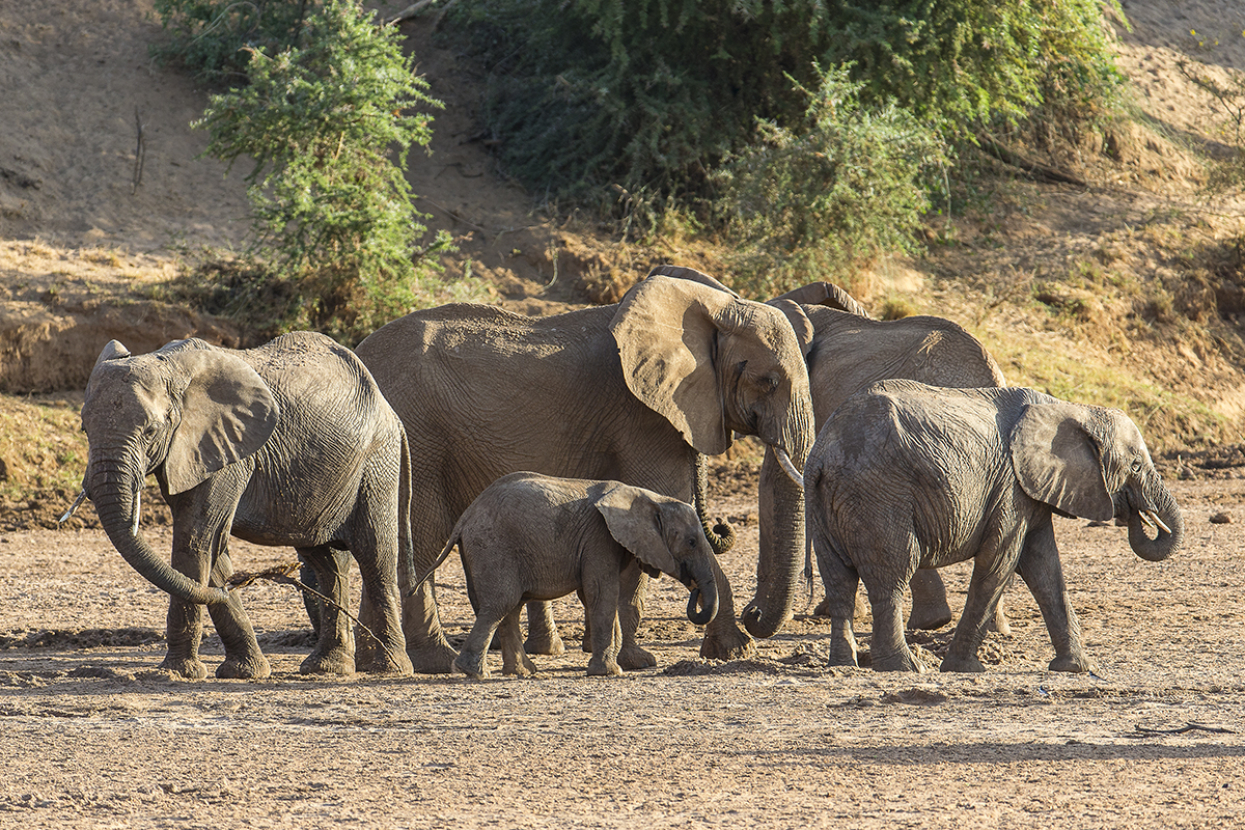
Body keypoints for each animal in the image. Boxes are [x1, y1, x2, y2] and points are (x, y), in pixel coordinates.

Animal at [76, 333, 414, 680]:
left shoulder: (222, 452)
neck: (169, 366)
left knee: (375, 556)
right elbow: (211, 549)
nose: (248, 579)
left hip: (377, 462)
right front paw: (245, 672)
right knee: (327, 562)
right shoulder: (194, 452)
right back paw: (328, 667)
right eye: (84, 428)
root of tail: (388, 409)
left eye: (151, 431)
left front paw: (177, 673)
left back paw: (388, 668)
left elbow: (196, 540)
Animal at [417, 472, 719, 678]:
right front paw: (609, 673)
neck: (648, 497)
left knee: (508, 608)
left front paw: (611, 667)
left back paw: (522, 672)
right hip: (492, 545)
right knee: (501, 603)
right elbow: (602, 593)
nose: (694, 588)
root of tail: (465, 517)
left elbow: (594, 595)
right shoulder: (599, 537)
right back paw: (475, 673)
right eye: (692, 542)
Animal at [804, 380, 1183, 673]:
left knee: (839, 581)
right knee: (893, 574)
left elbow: (1044, 567)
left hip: (828, 506)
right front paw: (963, 668)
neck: (1073, 409)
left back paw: (843, 665)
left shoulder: (1028, 490)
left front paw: (1077, 669)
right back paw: (907, 667)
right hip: (878, 496)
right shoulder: (1010, 487)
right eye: (1135, 466)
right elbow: (1000, 562)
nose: (1139, 514)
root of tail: (822, 453)